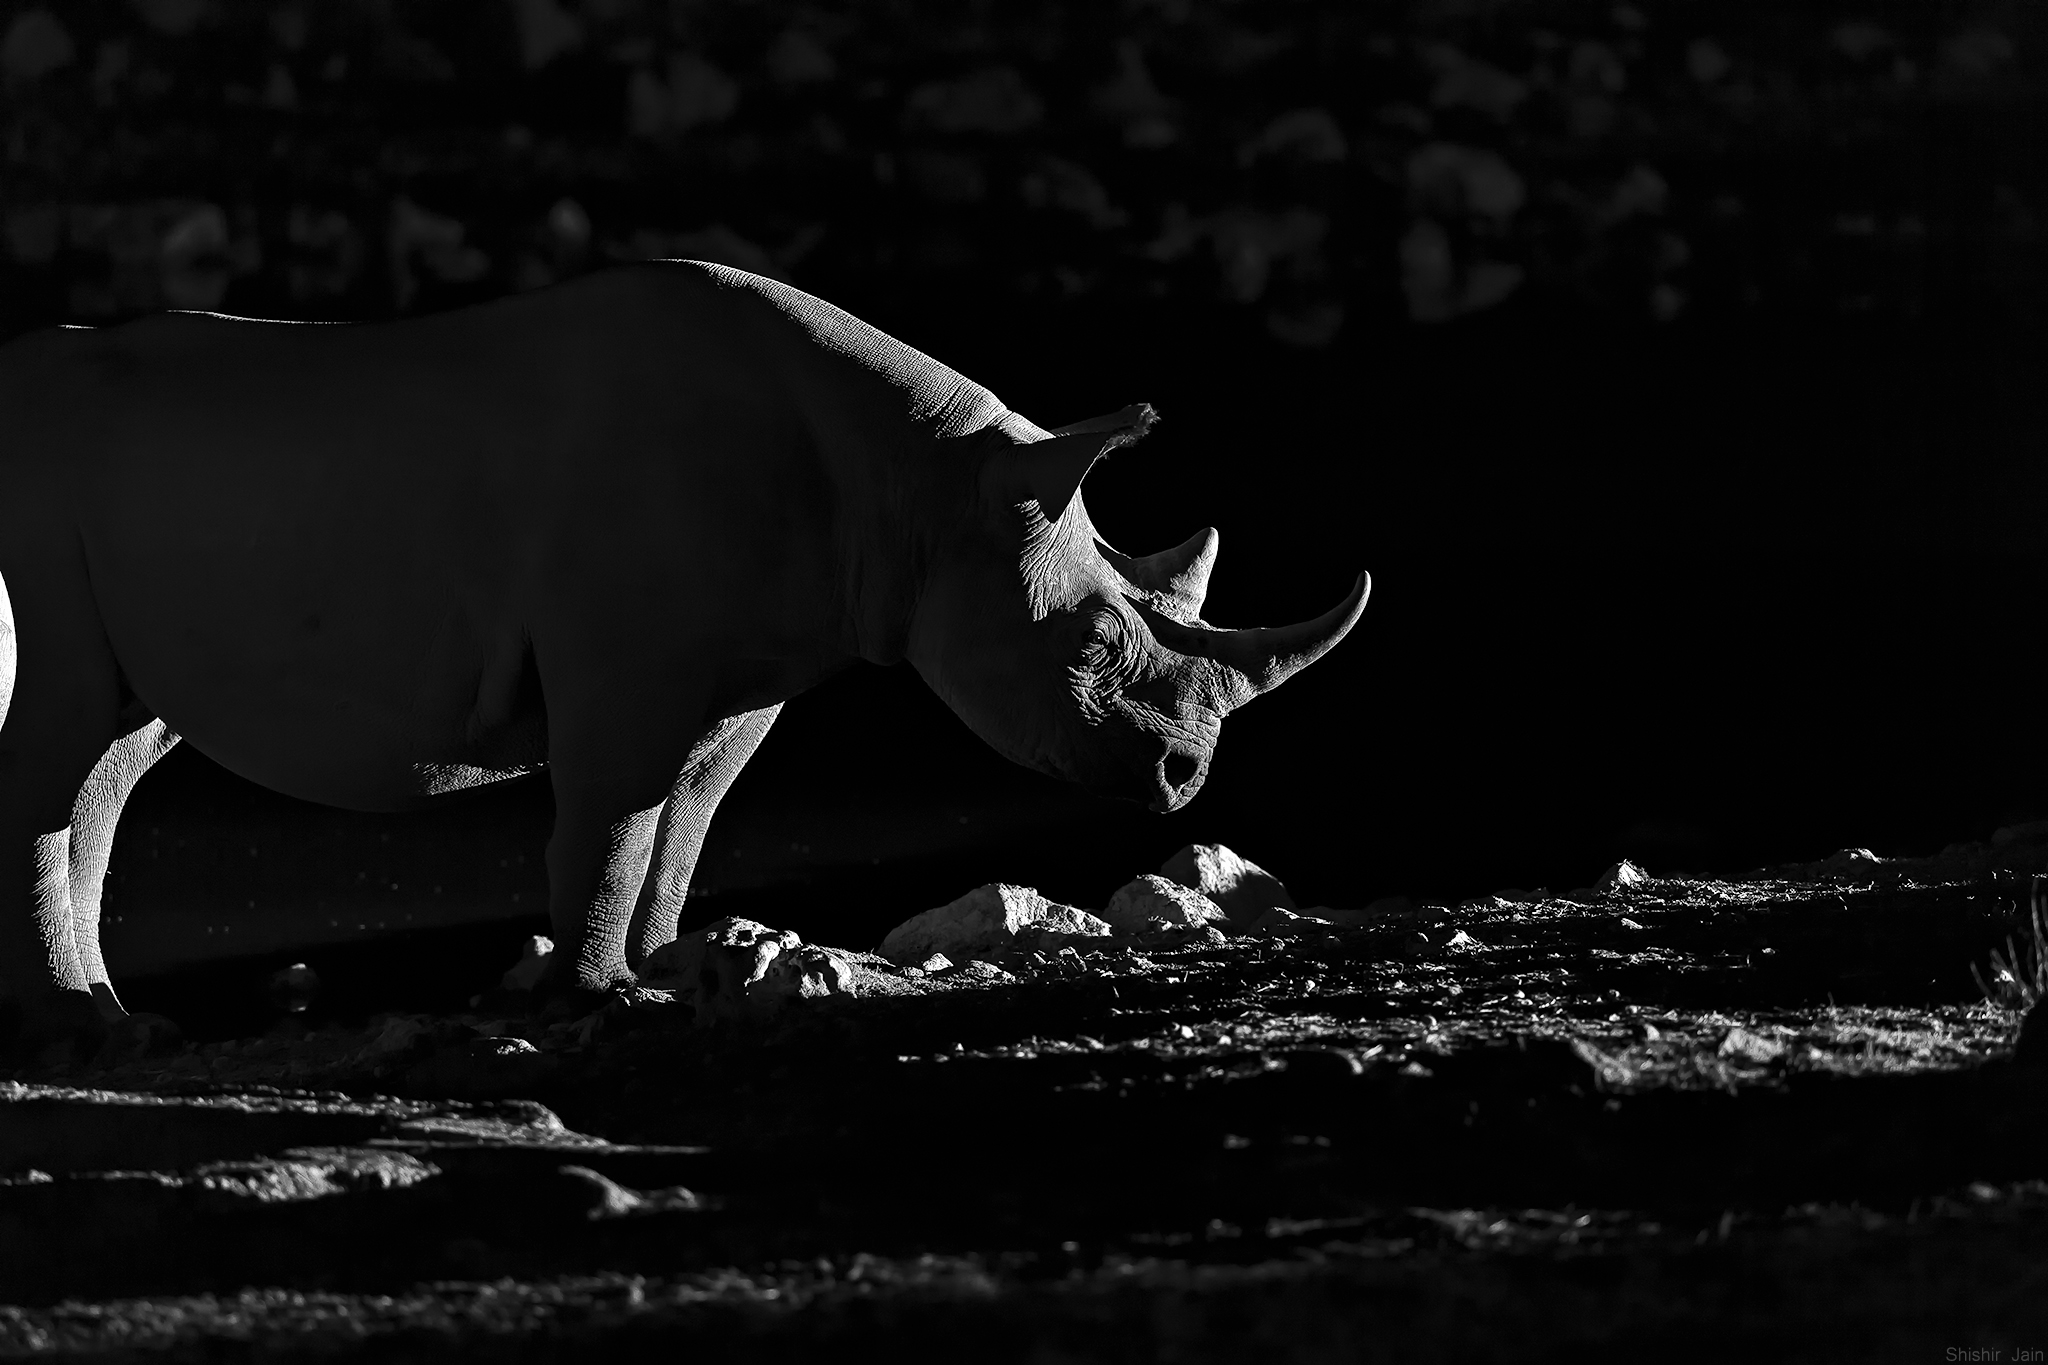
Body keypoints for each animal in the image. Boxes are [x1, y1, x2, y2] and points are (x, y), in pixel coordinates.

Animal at [4, 261, 1376, 1047]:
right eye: (1090, 644)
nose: (1184, 780)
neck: (925, 488)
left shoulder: (743, 669)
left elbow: (688, 816)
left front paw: (666, 970)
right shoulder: (623, 668)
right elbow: (612, 822)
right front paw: (594, 995)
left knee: (115, 750)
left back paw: (113, 1019)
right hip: (45, 490)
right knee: (65, 734)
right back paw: (86, 1029)